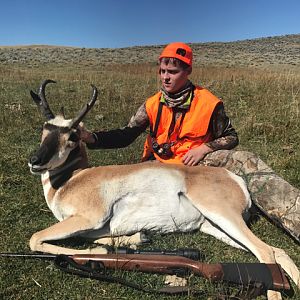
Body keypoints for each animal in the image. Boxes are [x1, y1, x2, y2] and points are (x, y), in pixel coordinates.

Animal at [28, 80, 298, 300]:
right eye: (44, 129)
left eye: (72, 136)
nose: (35, 160)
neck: (72, 180)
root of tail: (232, 177)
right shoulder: (94, 227)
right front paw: (131, 240)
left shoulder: (87, 218)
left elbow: (35, 239)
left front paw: (98, 251)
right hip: (213, 226)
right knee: (277, 251)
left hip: (223, 216)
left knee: (265, 251)